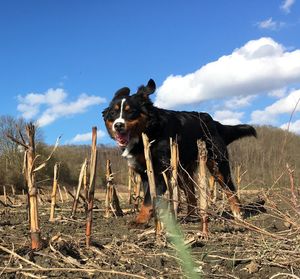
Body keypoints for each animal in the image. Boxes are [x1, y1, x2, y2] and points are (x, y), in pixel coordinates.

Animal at [102, 79, 256, 225]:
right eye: (113, 113)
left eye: (131, 112)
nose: (118, 125)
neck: (149, 131)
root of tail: (214, 123)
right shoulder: (145, 173)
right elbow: (150, 196)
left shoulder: (159, 172)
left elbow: (148, 199)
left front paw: (140, 220)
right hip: (182, 171)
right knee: (192, 196)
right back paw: (189, 217)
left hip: (217, 165)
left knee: (230, 190)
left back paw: (238, 214)